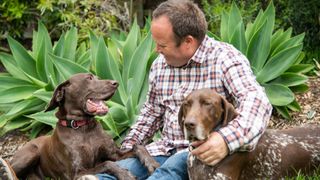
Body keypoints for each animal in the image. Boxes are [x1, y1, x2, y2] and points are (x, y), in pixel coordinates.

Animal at [9, 73, 159, 180]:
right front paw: (125, 174)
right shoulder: (76, 173)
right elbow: (106, 164)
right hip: (30, 154)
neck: (83, 128)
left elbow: (138, 147)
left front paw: (151, 162)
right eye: (89, 78)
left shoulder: (114, 154)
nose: (115, 83)